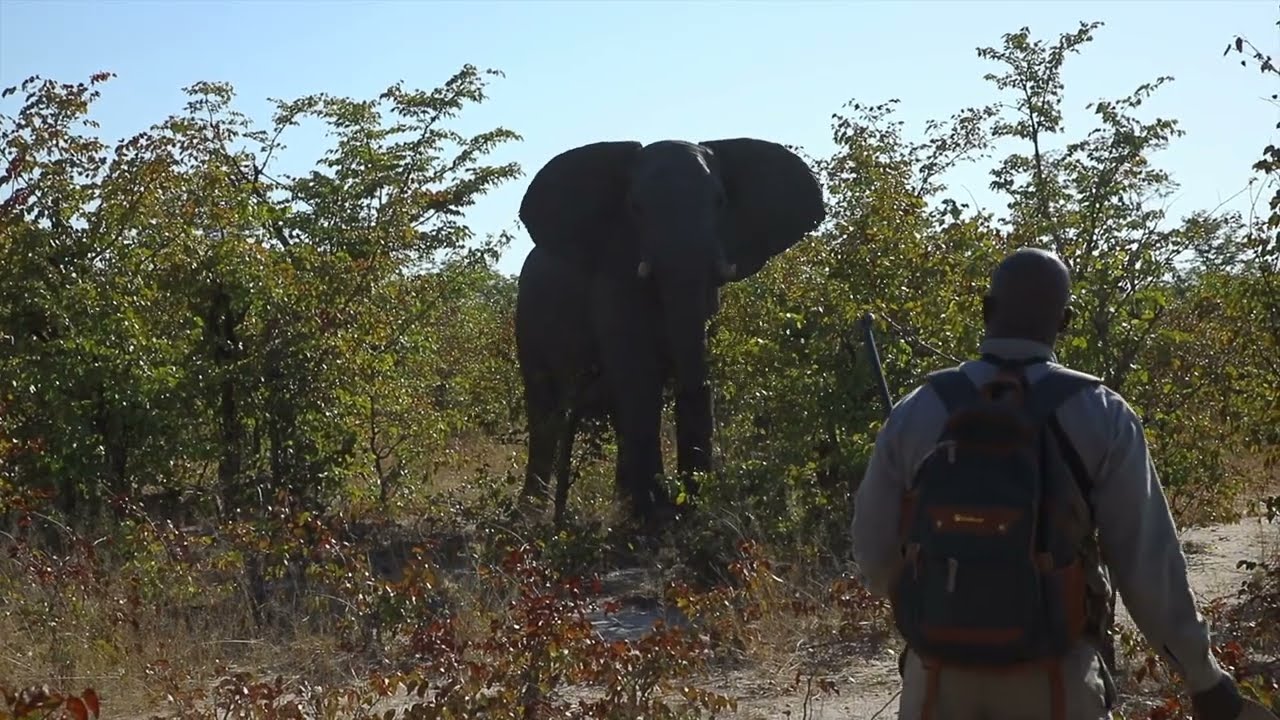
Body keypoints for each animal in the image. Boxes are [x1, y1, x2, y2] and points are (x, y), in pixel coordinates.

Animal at [514, 138, 826, 529]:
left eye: (720, 201)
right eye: (635, 207)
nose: (690, 498)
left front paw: (679, 511)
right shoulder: (614, 279)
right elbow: (638, 377)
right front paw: (658, 517)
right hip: (527, 321)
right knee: (545, 412)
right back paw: (529, 513)